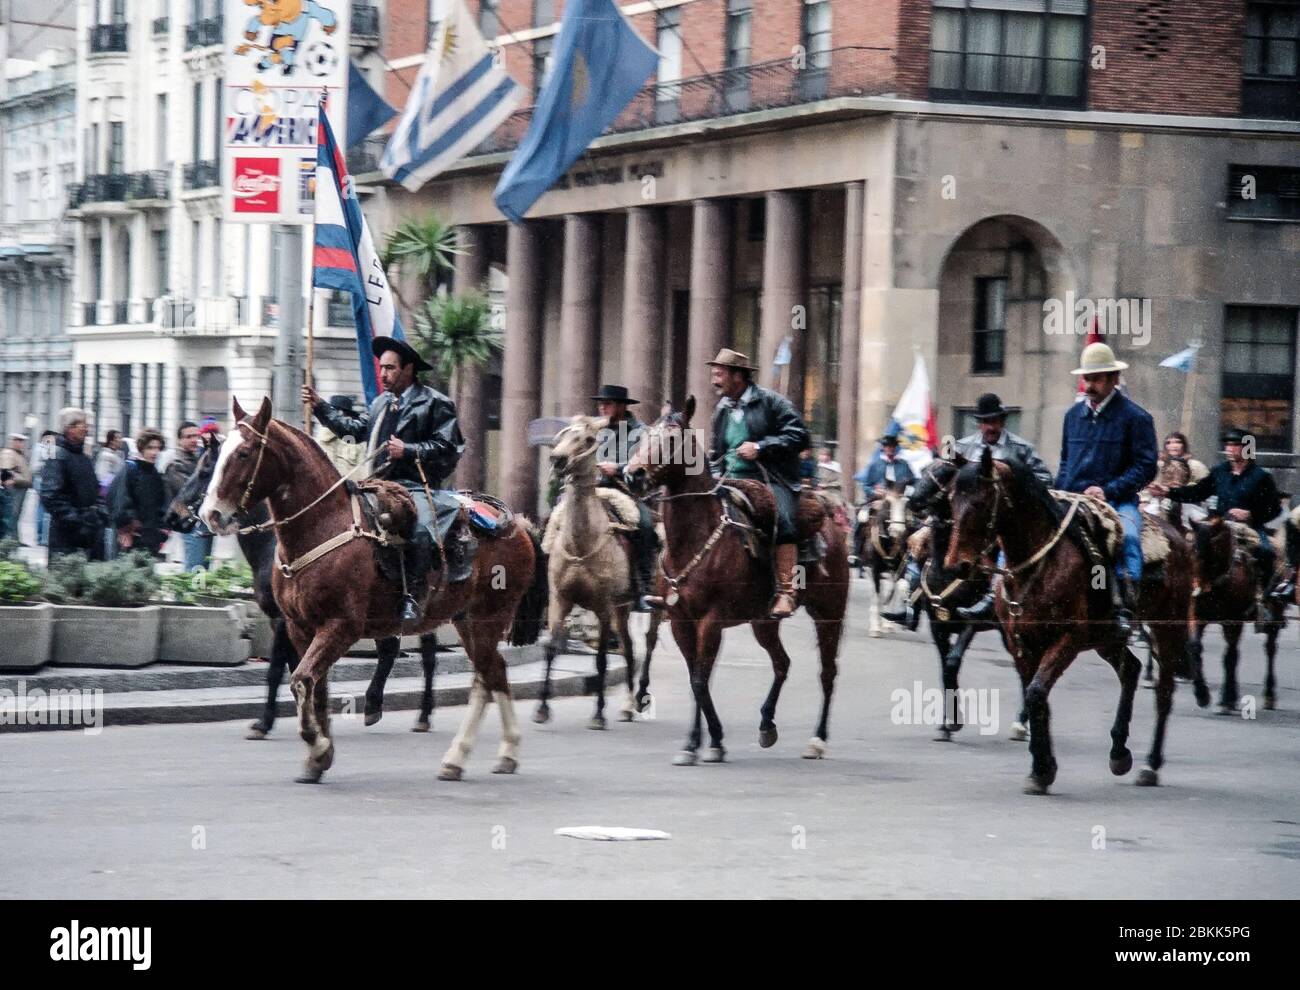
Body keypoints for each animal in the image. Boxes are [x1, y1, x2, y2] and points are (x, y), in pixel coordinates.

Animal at [200, 397, 546, 784]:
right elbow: (315, 686)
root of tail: (518, 524)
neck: (321, 527)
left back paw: (475, 752)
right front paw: (319, 757)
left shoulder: (341, 626)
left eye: (244, 453)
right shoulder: (299, 627)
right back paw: (482, 756)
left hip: (489, 617)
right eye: (220, 453)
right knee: (490, 674)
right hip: (466, 620)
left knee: (488, 674)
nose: (210, 514)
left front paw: (317, 744)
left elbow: (301, 680)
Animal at [621, 400, 847, 763]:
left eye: (672, 440)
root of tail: (833, 526)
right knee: (782, 663)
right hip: (764, 622)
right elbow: (695, 679)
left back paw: (818, 740)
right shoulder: (681, 620)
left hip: (829, 614)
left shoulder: (711, 621)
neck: (695, 540)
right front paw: (702, 741)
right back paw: (767, 724)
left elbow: (701, 680)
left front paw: (704, 742)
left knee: (827, 673)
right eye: (642, 437)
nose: (633, 474)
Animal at [946, 446, 1196, 795]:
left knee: (1164, 692)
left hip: (1166, 628)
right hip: (1106, 638)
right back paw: (1119, 752)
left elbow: (1036, 693)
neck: (1041, 562)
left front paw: (1042, 768)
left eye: (981, 502)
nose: (957, 566)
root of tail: (1180, 537)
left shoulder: (1068, 640)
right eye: (951, 499)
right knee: (1130, 670)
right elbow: (1035, 697)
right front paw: (1041, 768)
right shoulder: (1022, 644)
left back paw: (1150, 765)